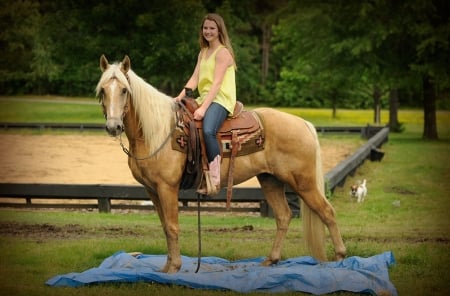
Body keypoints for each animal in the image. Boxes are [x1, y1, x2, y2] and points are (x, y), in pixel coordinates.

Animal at [96, 55, 346, 272]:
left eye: (124, 90)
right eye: (102, 91)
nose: (113, 127)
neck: (157, 133)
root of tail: (303, 123)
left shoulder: (168, 188)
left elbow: (173, 226)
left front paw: (174, 268)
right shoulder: (152, 190)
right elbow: (166, 227)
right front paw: (166, 267)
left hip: (304, 183)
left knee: (327, 212)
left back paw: (341, 257)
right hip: (270, 180)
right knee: (284, 216)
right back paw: (271, 260)